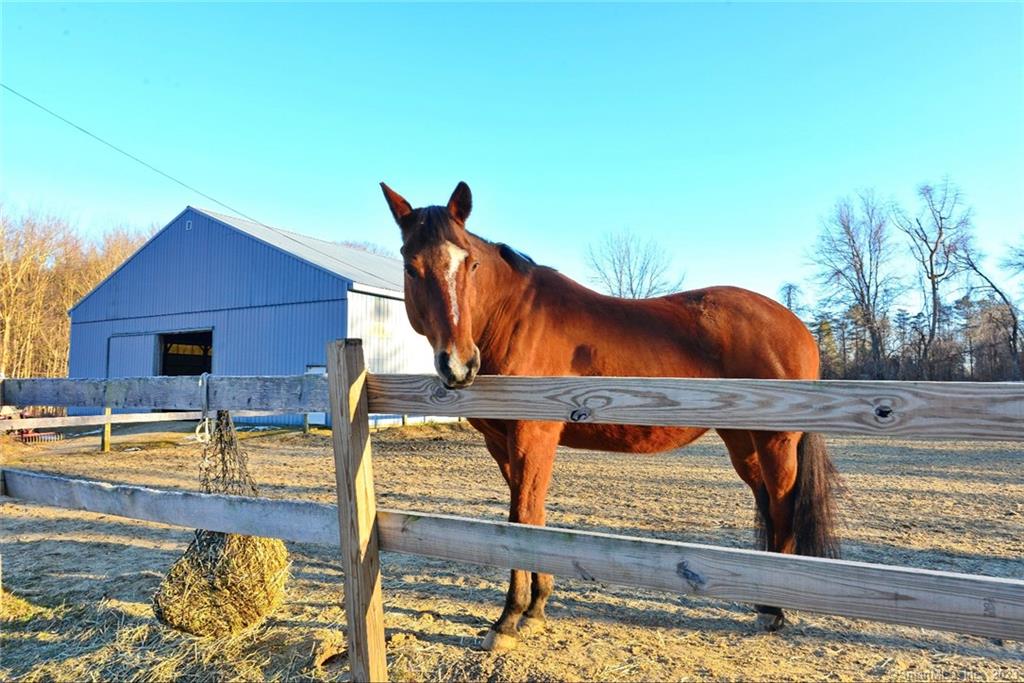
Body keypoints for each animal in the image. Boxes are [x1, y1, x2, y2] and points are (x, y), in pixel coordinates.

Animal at [380, 180, 835, 651]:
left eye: (470, 264)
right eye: (411, 267)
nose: (459, 364)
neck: (513, 318)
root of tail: (797, 326)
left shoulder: (532, 436)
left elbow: (521, 518)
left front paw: (507, 620)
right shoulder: (503, 445)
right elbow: (532, 516)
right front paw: (535, 607)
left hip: (775, 441)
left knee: (782, 506)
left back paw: (774, 609)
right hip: (743, 442)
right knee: (766, 500)